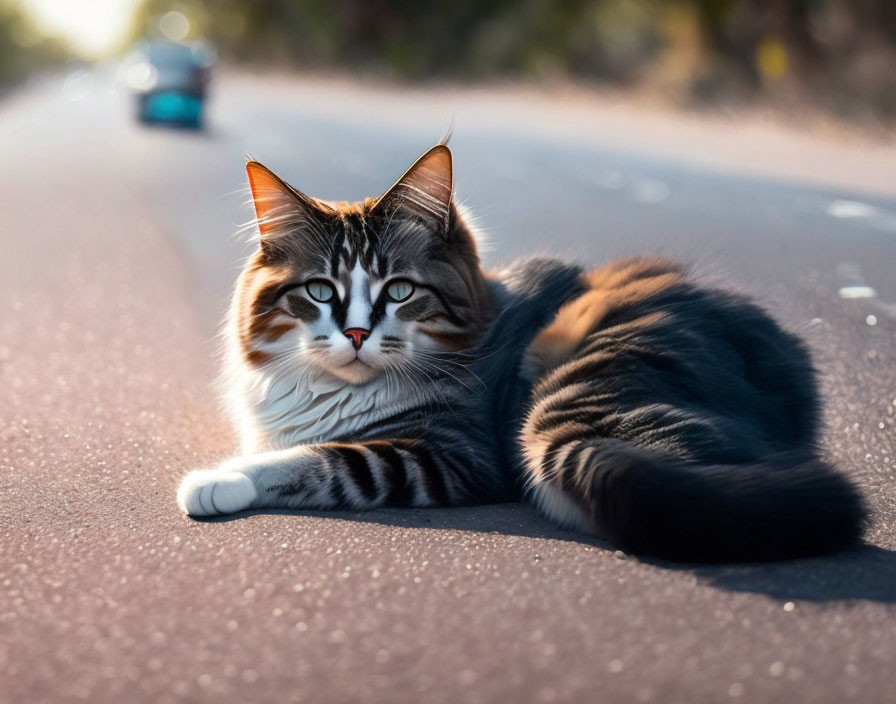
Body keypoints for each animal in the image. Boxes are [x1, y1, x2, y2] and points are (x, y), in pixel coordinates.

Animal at [177, 142, 868, 560]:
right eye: (320, 291)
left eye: (399, 290)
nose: (355, 334)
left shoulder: (452, 453)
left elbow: (317, 459)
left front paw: (216, 480)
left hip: (569, 407)